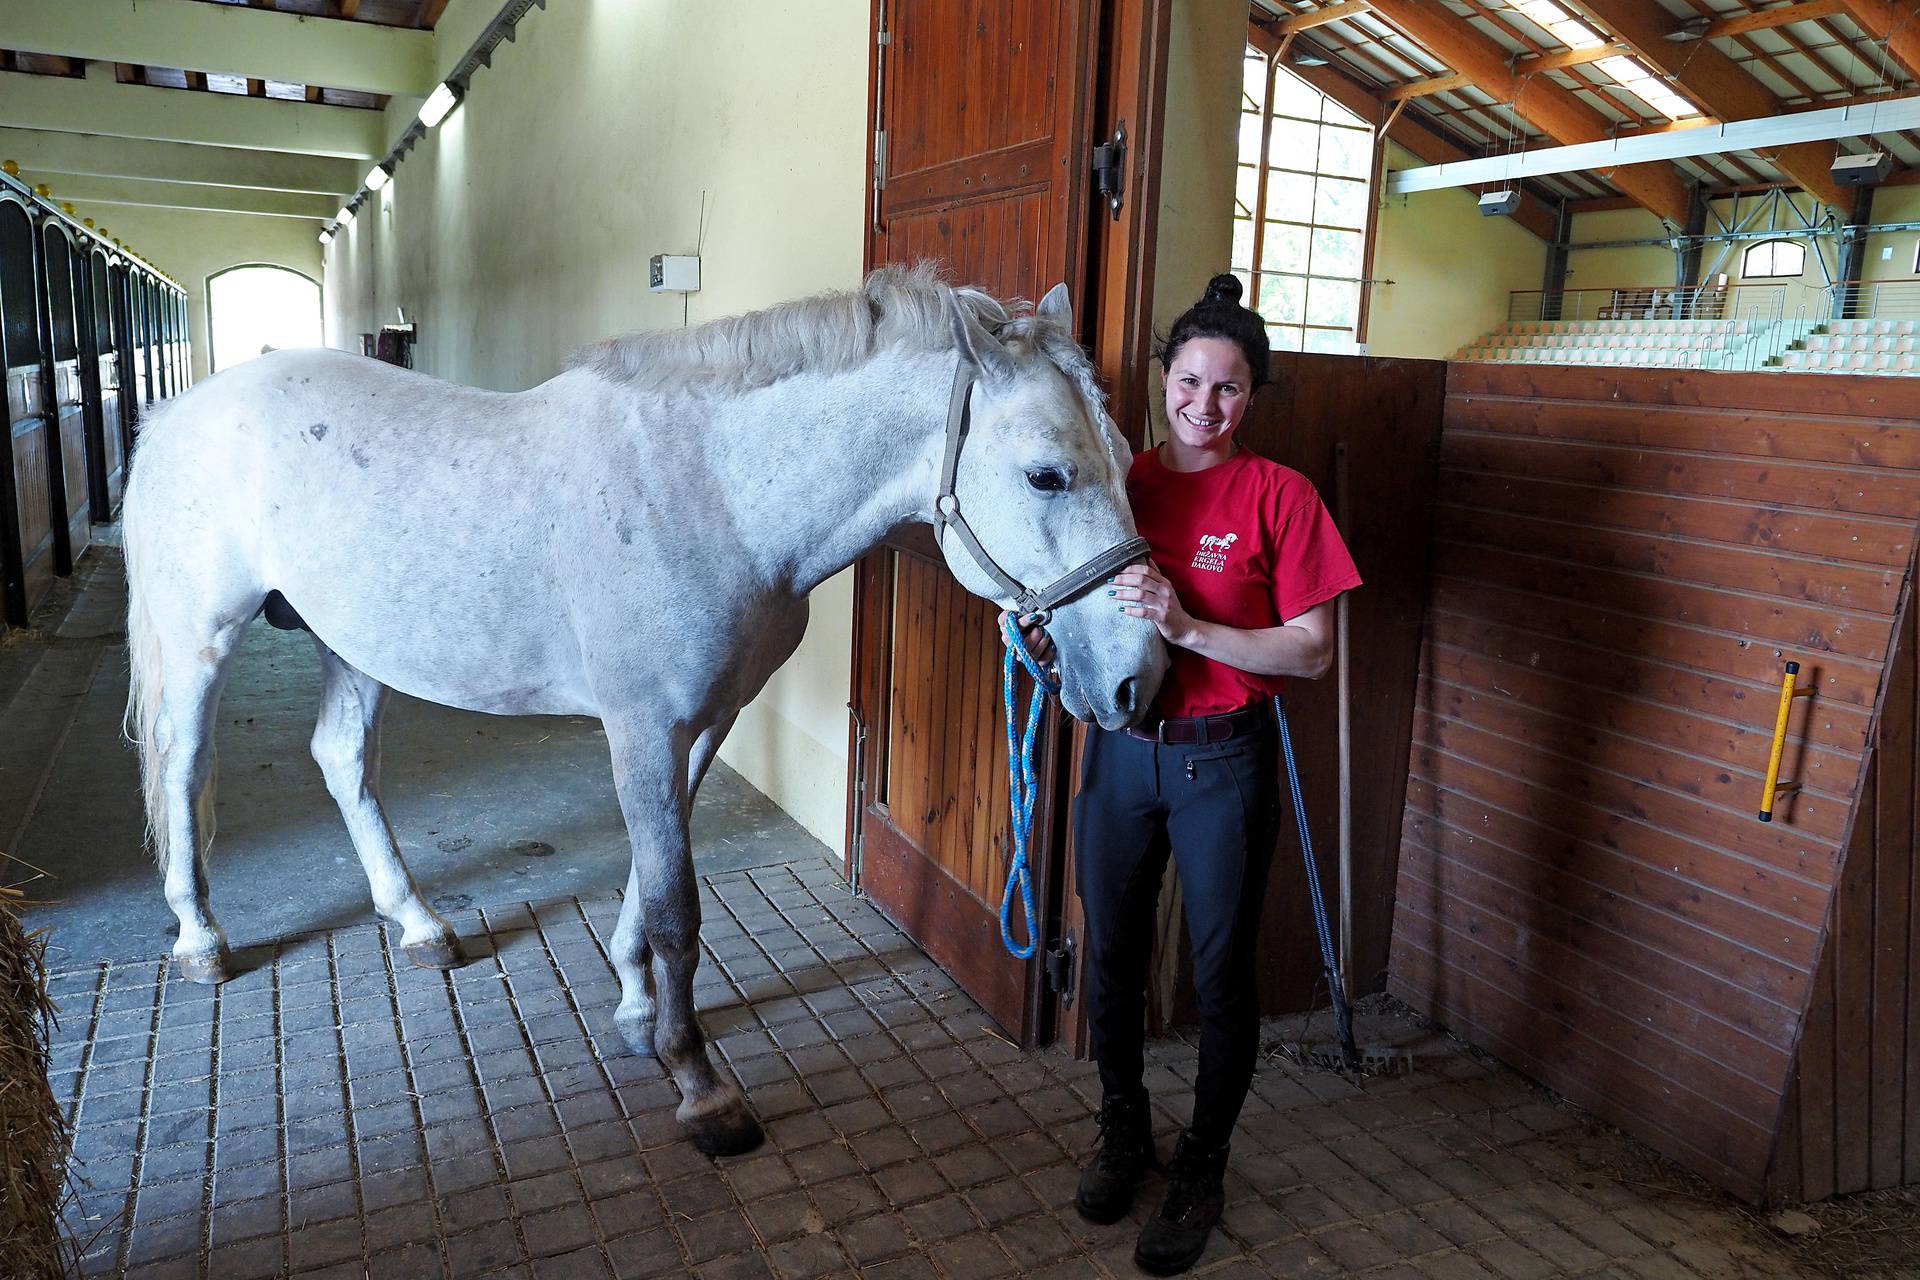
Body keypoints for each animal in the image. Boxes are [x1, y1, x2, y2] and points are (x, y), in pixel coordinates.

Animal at [127, 264, 1167, 1159]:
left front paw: (635, 1011)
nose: (1139, 680)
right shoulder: (643, 731)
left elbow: (649, 877)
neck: (715, 491)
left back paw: (418, 924)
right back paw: (200, 937)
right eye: (1047, 474)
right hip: (201, 638)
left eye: (1125, 459)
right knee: (183, 765)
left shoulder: (702, 724)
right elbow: (677, 908)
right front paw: (699, 1084)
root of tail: (178, 411)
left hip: (353, 643)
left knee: (342, 758)